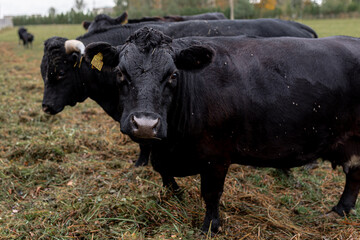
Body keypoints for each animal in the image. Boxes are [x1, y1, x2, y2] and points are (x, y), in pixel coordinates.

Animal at [83, 27, 360, 232]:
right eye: (120, 73)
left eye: (173, 75)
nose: (145, 124)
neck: (173, 145)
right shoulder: (164, 153)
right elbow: (162, 172)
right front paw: (175, 195)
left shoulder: (216, 156)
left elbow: (211, 193)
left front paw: (210, 226)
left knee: (354, 176)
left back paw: (339, 210)